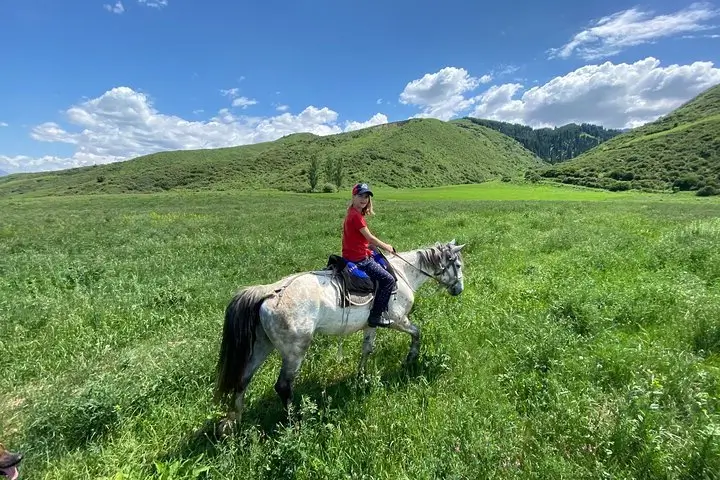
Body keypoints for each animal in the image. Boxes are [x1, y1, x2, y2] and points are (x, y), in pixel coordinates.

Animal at [212, 238, 466, 430]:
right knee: (283, 386)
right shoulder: (398, 321)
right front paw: (411, 358)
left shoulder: (371, 325)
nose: (459, 289)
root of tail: (270, 292)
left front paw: (361, 378)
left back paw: (235, 421)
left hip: (261, 346)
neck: (403, 274)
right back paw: (294, 422)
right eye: (458, 265)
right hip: (295, 351)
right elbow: (417, 333)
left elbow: (367, 350)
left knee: (243, 379)